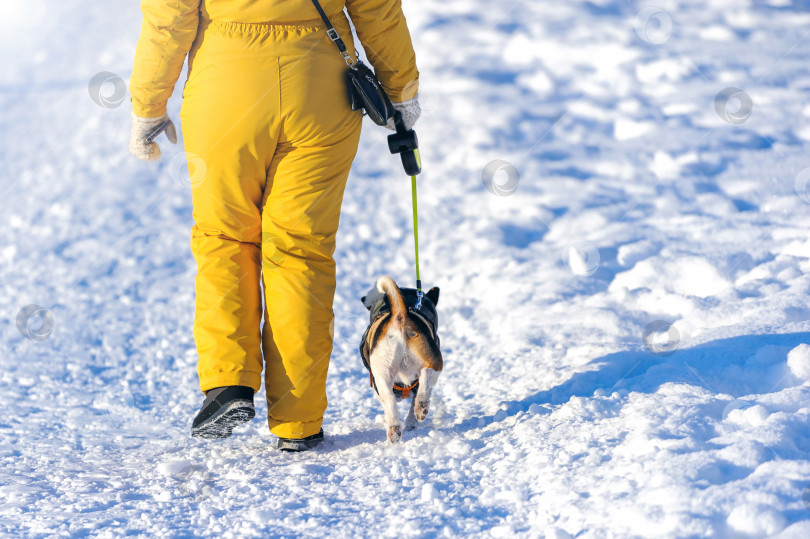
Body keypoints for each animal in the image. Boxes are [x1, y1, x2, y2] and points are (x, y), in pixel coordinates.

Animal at [358, 276, 442, 446]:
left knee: (391, 398)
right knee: (424, 377)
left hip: (382, 373)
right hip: (426, 359)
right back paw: (416, 411)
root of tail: (400, 316)